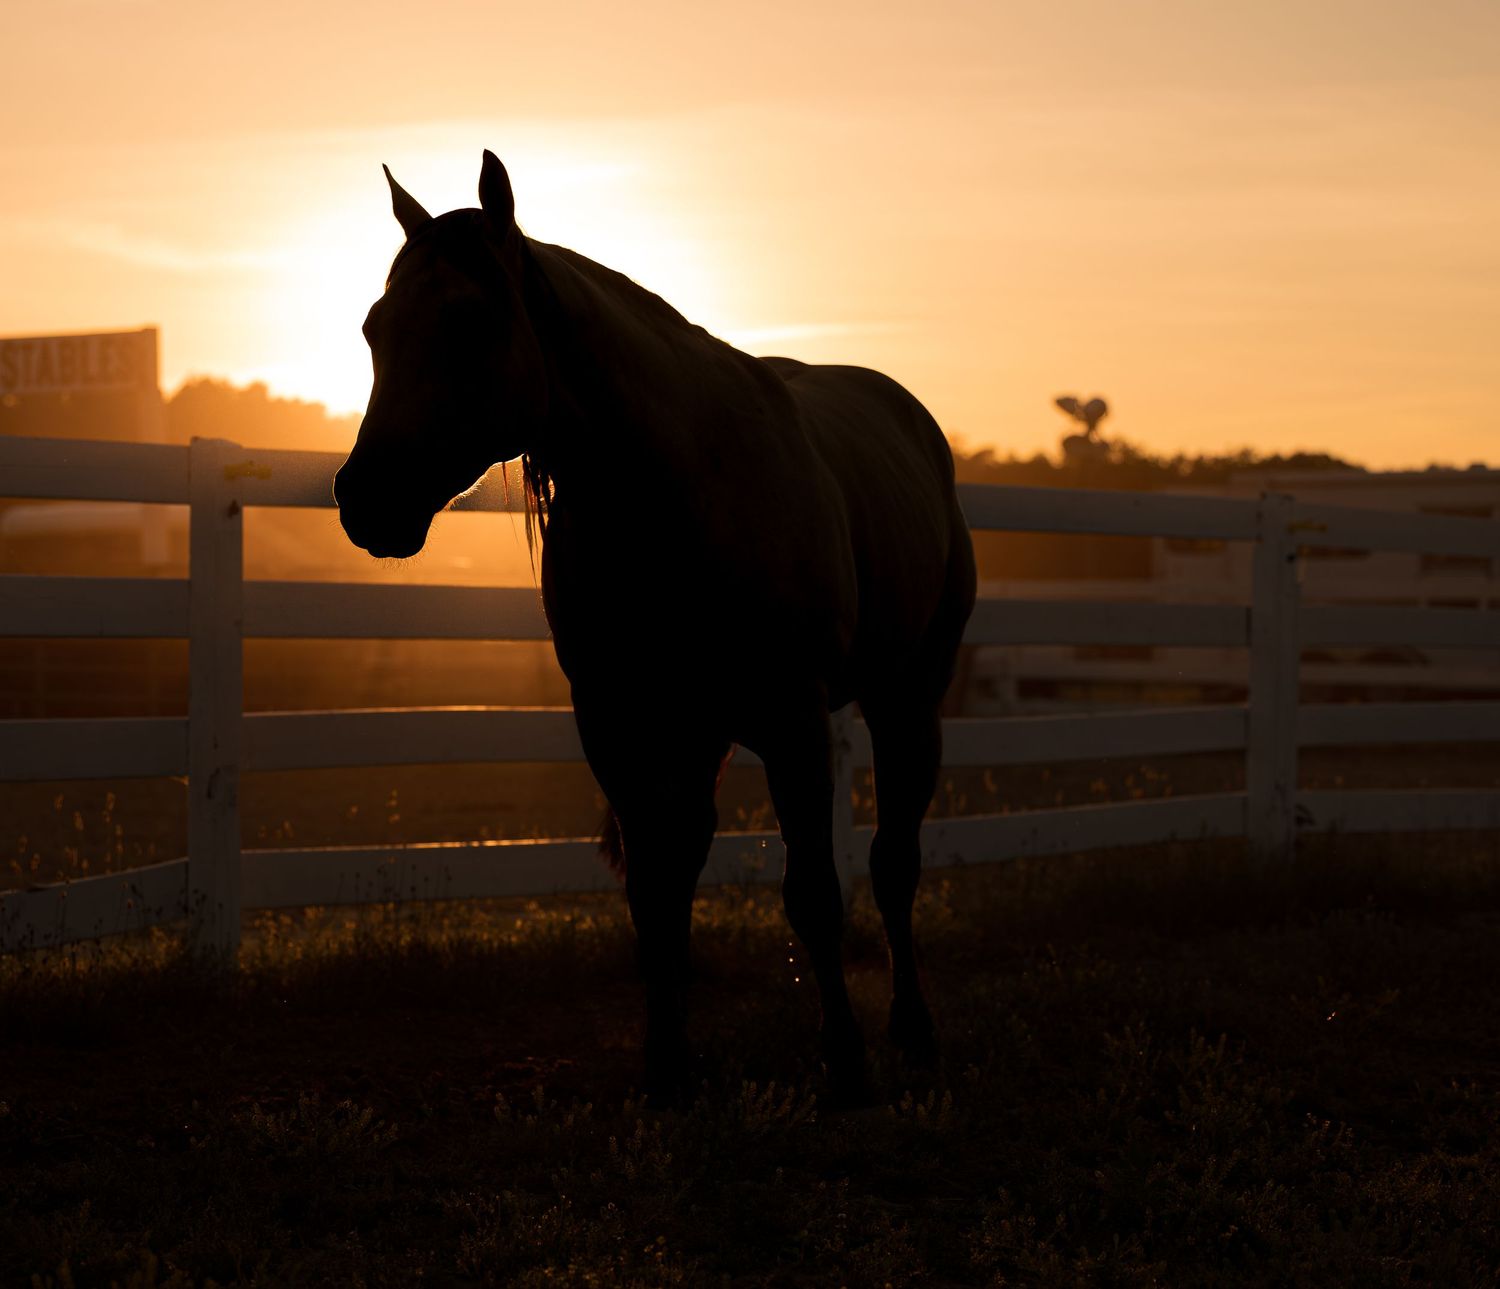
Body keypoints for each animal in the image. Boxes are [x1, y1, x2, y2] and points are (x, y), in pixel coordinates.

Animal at [333, 151, 976, 1101]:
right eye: (376, 328)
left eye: (471, 320)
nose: (366, 497)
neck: (672, 494)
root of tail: (910, 416)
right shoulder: (616, 720)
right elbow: (653, 889)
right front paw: (668, 1060)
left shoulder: (793, 721)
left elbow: (814, 891)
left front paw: (843, 1056)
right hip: (706, 726)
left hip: (908, 701)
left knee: (894, 866)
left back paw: (913, 1026)